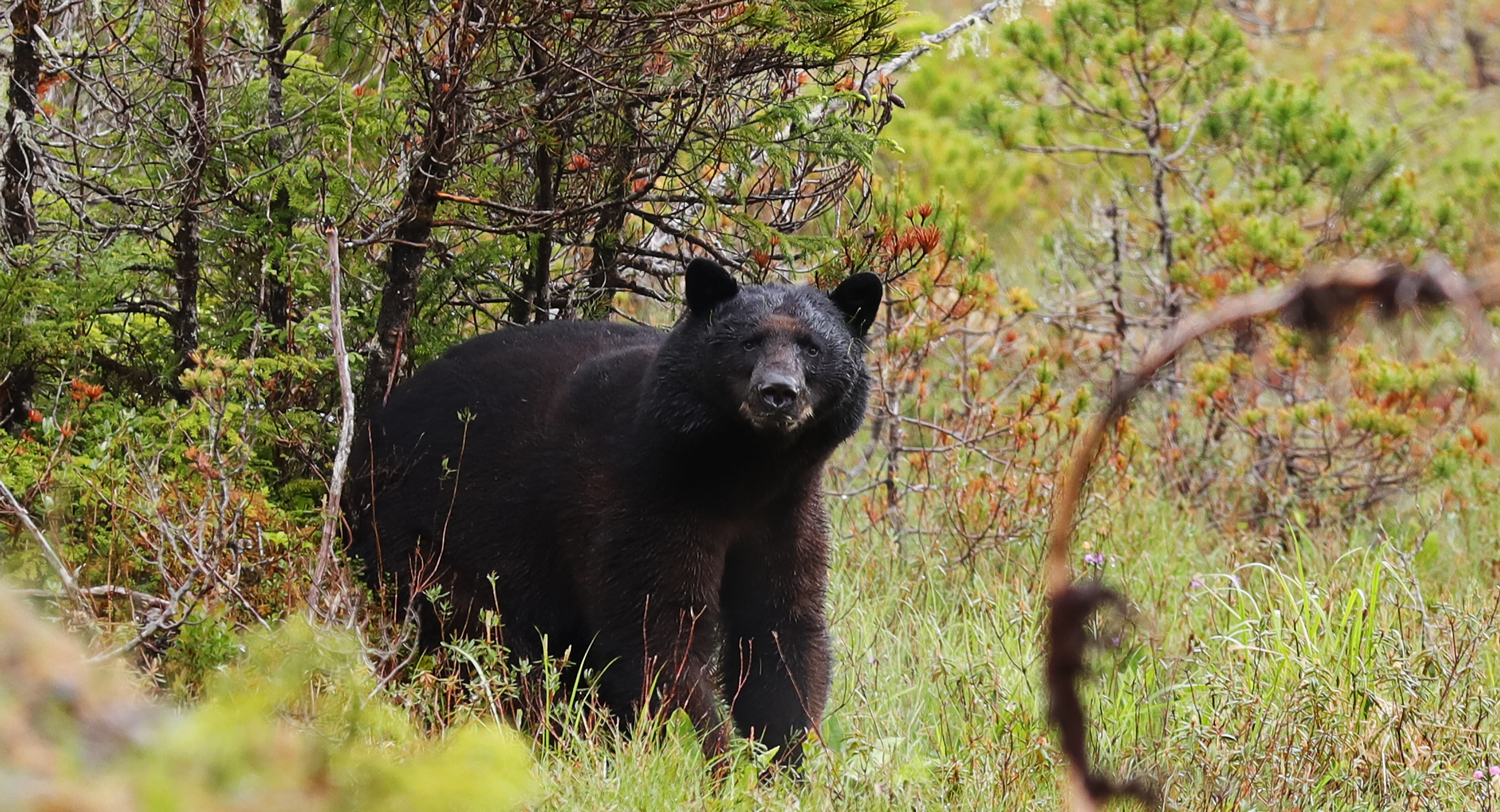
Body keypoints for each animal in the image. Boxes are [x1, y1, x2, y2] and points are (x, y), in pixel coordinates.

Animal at [345, 258, 882, 765]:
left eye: (813, 347)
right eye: (747, 343)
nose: (778, 392)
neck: (739, 473)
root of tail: (373, 430)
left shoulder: (786, 509)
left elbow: (780, 626)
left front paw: (784, 762)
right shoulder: (647, 495)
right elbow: (657, 631)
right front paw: (711, 758)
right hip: (429, 533)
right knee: (473, 638)